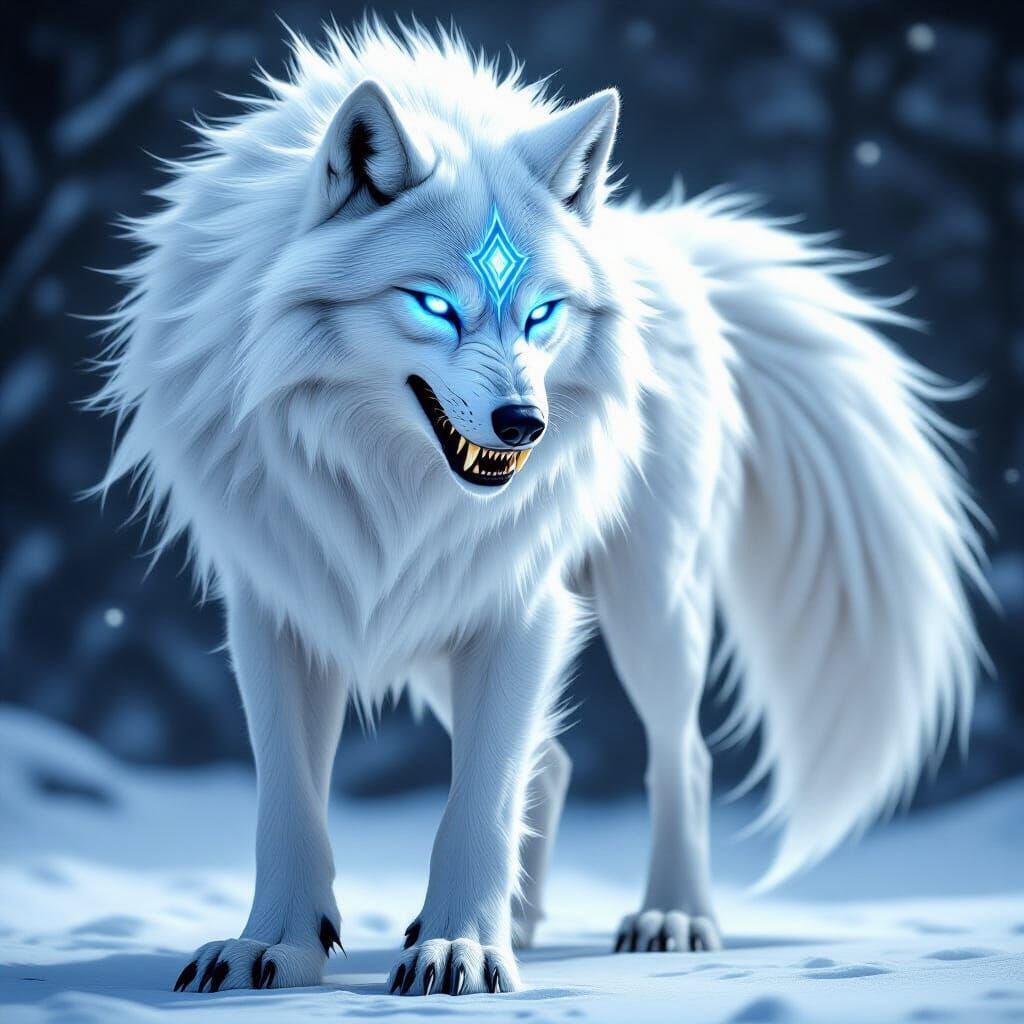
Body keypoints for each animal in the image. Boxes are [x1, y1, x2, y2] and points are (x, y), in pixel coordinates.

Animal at [92, 22, 985, 996]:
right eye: (436, 306)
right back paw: (518, 919)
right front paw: (275, 948)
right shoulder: (281, 605)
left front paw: (460, 951)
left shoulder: (524, 603)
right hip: (435, 634)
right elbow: (290, 798)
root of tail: (659, 234)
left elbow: (479, 798)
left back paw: (669, 919)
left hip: (647, 607)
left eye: (543, 313)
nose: (526, 423)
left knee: (681, 756)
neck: (386, 485)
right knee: (550, 763)